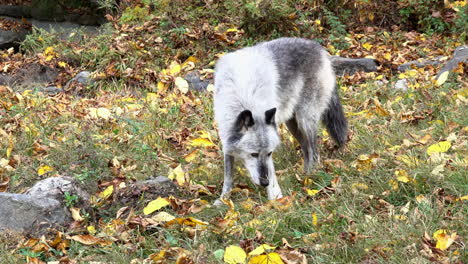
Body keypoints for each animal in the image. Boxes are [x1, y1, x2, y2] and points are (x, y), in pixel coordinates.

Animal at [212, 37, 348, 202]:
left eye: (269, 153)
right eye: (253, 154)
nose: (264, 182)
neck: (244, 97)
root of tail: (321, 50)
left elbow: (271, 172)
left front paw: (276, 198)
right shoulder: (226, 138)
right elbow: (228, 176)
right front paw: (223, 200)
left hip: (305, 120)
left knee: (314, 152)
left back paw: (310, 177)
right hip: (292, 125)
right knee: (307, 150)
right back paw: (304, 175)